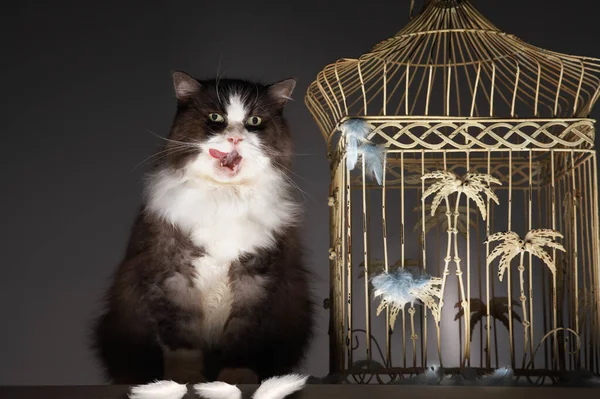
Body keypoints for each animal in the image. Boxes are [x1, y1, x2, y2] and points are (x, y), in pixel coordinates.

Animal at [91, 71, 314, 384]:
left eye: (254, 121)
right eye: (215, 117)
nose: (234, 136)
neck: (225, 199)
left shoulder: (256, 280)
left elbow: (241, 339)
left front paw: (235, 378)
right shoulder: (171, 276)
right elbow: (182, 340)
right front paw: (183, 380)